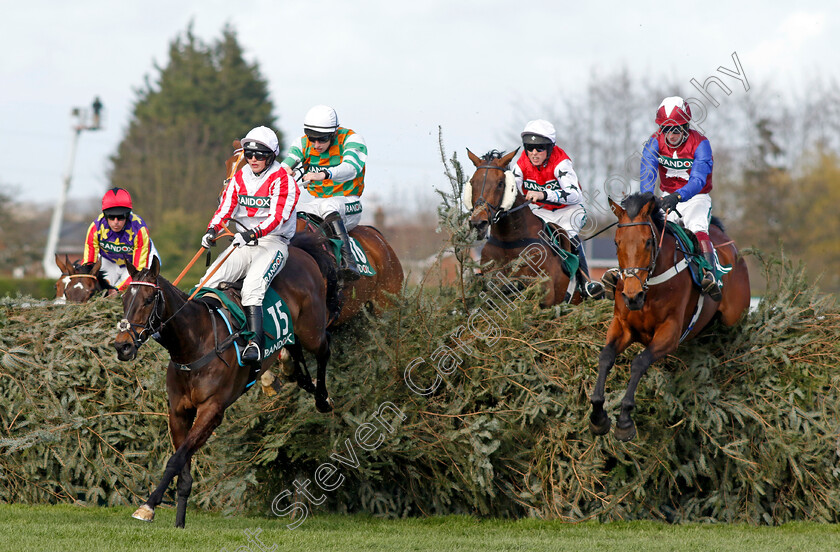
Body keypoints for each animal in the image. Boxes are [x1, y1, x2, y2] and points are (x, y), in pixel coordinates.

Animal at [113, 232, 340, 528]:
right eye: (124, 299)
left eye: (150, 298)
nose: (123, 346)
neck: (196, 343)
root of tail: (301, 251)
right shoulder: (179, 412)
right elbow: (183, 462)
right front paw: (179, 520)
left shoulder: (212, 410)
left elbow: (176, 459)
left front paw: (148, 506)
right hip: (293, 335)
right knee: (297, 359)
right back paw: (296, 377)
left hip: (311, 326)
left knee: (324, 348)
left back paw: (323, 398)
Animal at [588, 192, 752, 442]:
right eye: (616, 242)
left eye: (648, 241)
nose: (632, 296)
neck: (650, 287)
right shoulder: (622, 326)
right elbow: (606, 357)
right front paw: (598, 416)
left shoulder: (670, 333)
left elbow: (639, 362)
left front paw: (624, 420)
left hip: (734, 319)